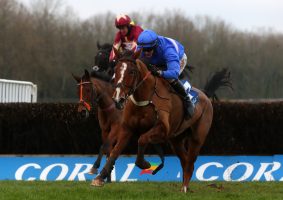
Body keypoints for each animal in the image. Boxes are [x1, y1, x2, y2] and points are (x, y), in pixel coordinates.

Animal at [92, 50, 232, 192]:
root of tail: (204, 95)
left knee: (190, 161)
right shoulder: (127, 128)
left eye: (131, 71)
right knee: (185, 160)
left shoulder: (162, 129)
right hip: (176, 140)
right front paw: (99, 177)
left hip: (197, 137)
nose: (118, 99)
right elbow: (115, 151)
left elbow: (142, 139)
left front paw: (144, 163)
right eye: (115, 70)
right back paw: (183, 187)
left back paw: (185, 188)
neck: (145, 98)